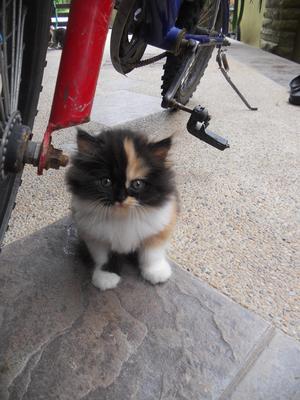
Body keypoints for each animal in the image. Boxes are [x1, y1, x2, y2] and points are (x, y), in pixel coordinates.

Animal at [67, 128, 177, 290]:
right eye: (106, 182)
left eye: (137, 184)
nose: (120, 197)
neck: (122, 215)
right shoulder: (96, 236)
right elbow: (104, 257)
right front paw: (106, 276)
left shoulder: (158, 228)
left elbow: (152, 254)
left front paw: (156, 272)